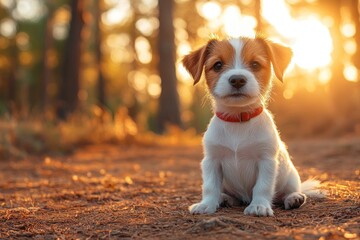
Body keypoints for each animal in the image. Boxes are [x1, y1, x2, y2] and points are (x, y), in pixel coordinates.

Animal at [181, 36, 322, 218]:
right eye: (218, 65)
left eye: (255, 64)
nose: (237, 79)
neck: (238, 120)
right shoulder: (211, 160)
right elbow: (210, 186)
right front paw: (207, 204)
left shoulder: (266, 160)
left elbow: (262, 186)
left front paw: (259, 206)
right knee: (231, 195)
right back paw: (225, 198)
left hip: (290, 176)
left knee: (289, 191)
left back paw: (294, 198)